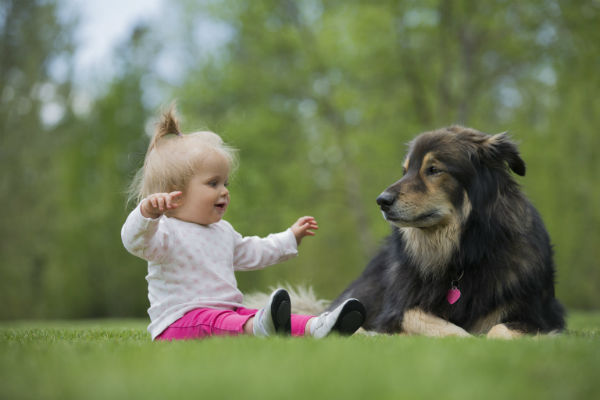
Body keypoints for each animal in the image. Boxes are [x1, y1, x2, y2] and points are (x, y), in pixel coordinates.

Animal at [328, 125, 568, 338]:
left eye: (433, 170)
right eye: (405, 171)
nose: (381, 201)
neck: (465, 257)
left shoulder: (540, 317)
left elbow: (499, 330)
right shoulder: (397, 310)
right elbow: (432, 322)